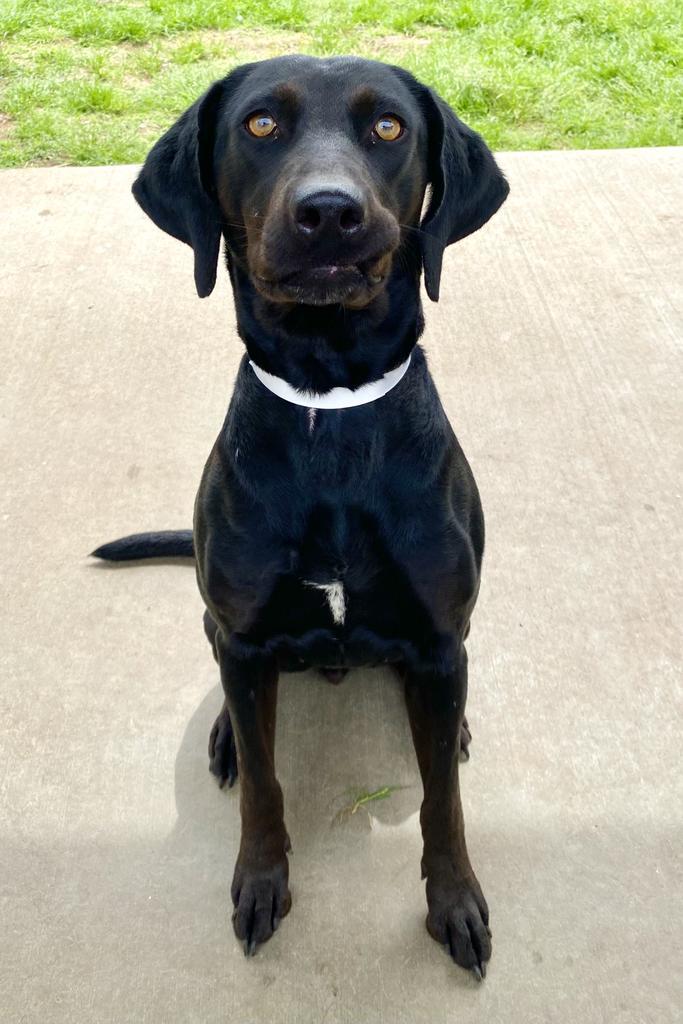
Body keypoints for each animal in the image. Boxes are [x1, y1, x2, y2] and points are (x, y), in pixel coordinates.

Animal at [93, 54, 507, 974]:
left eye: (388, 126)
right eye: (259, 124)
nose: (328, 212)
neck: (330, 407)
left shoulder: (438, 638)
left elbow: (444, 802)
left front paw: (454, 901)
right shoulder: (244, 637)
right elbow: (265, 783)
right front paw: (259, 881)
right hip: (224, 634)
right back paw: (222, 736)